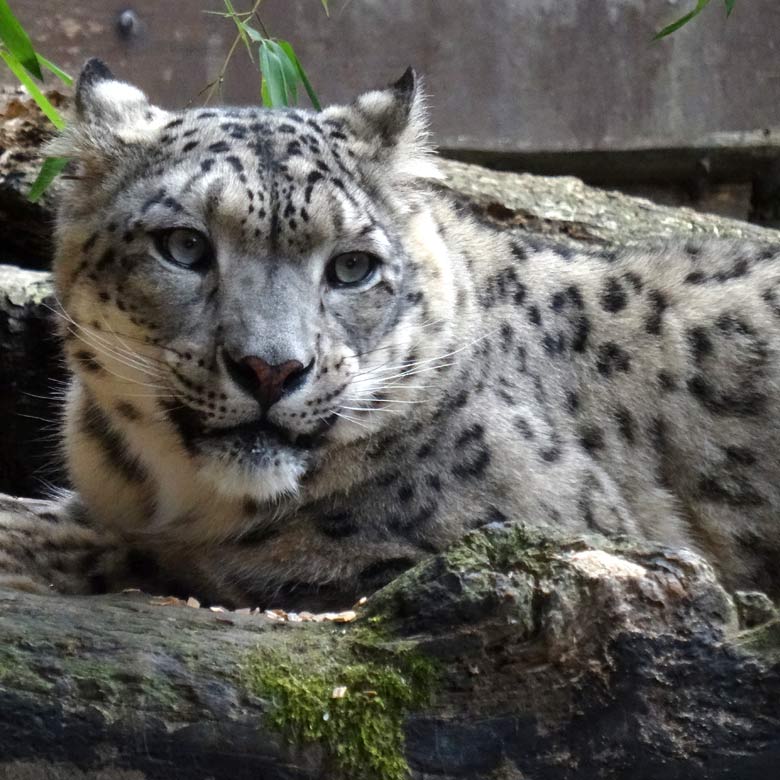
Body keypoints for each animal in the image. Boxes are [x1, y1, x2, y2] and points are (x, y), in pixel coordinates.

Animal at [1, 59, 780, 608]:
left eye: (352, 266)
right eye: (185, 247)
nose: (271, 370)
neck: (172, 493)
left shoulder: (551, 530)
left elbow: (218, 560)